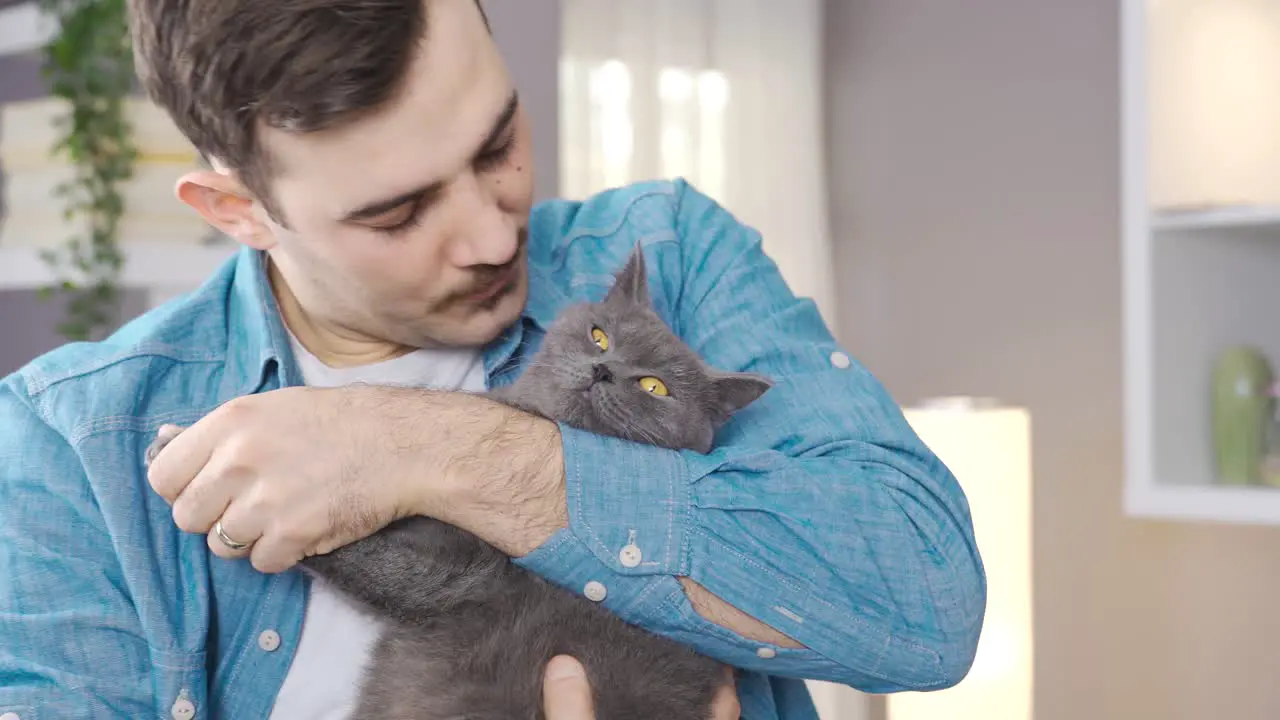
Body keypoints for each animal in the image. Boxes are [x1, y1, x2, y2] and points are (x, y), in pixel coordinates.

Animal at [149, 242, 768, 717]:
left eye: (654, 387)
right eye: (599, 335)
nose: (603, 370)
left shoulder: (469, 574)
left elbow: (369, 560)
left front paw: (176, 446)